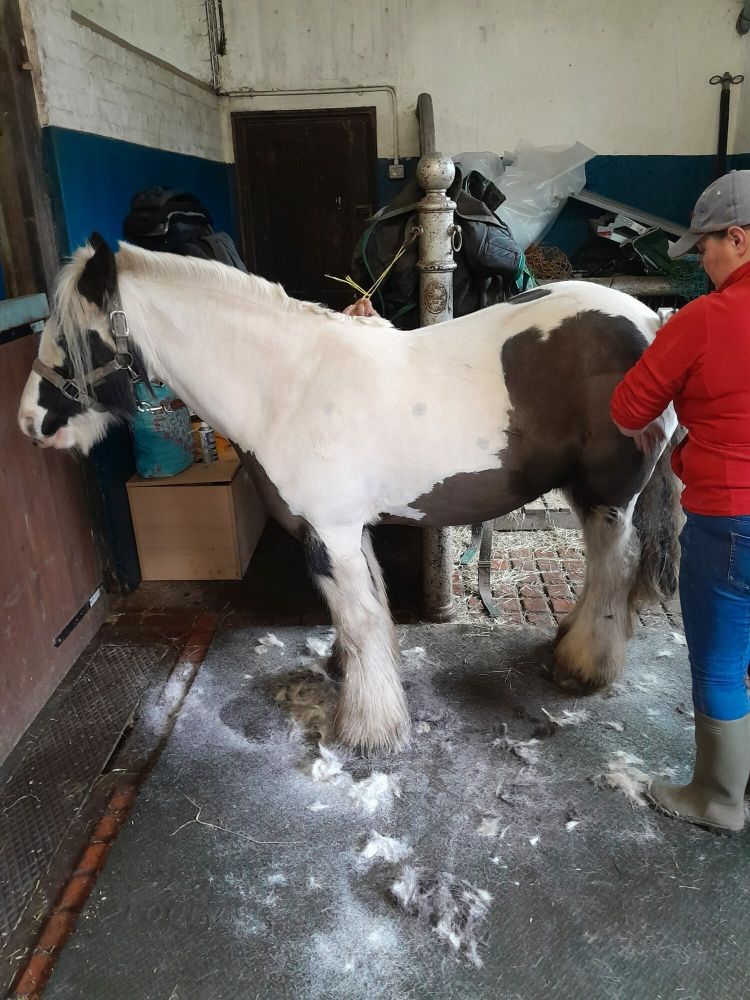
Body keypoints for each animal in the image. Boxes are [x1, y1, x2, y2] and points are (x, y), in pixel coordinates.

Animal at [18, 234, 680, 752]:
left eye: (74, 339)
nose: (30, 423)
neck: (285, 387)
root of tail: (652, 322)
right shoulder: (345, 530)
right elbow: (367, 612)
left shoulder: (330, 534)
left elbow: (359, 620)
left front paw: (368, 729)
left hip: (609, 496)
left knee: (614, 568)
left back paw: (583, 666)